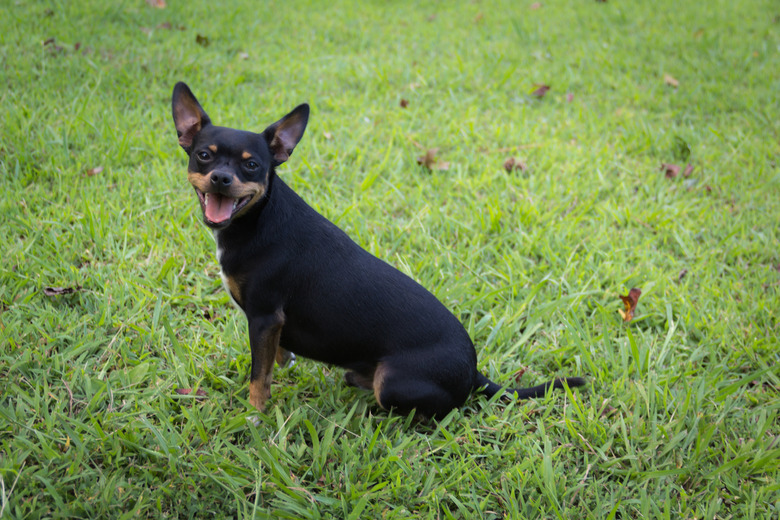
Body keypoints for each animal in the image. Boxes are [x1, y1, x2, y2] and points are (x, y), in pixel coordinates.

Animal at [172, 83, 584, 416]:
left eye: (253, 166)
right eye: (203, 156)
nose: (221, 178)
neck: (257, 219)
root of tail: (474, 370)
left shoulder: (264, 317)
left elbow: (259, 375)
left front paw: (254, 413)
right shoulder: (269, 325)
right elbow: (273, 360)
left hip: (392, 381)